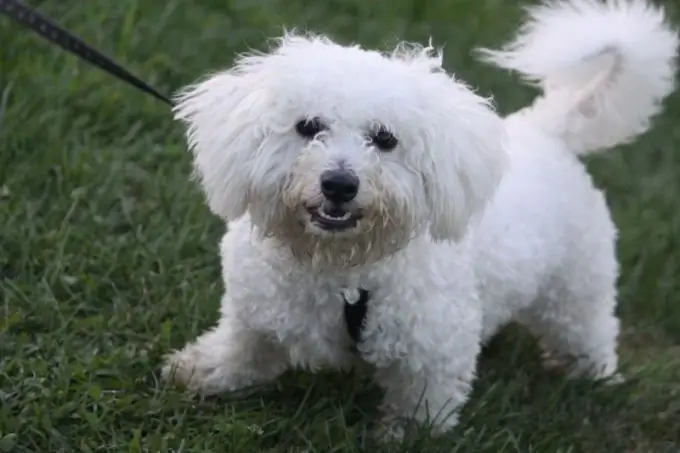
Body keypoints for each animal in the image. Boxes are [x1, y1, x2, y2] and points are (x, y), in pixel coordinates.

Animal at [162, 0, 676, 440]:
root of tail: (547, 127)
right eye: (308, 126)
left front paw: (403, 436)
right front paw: (202, 373)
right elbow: (239, 349)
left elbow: (422, 405)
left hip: (575, 287)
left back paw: (591, 376)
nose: (339, 184)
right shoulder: (255, 313)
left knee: (588, 329)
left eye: (385, 139)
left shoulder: (433, 348)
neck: (338, 267)